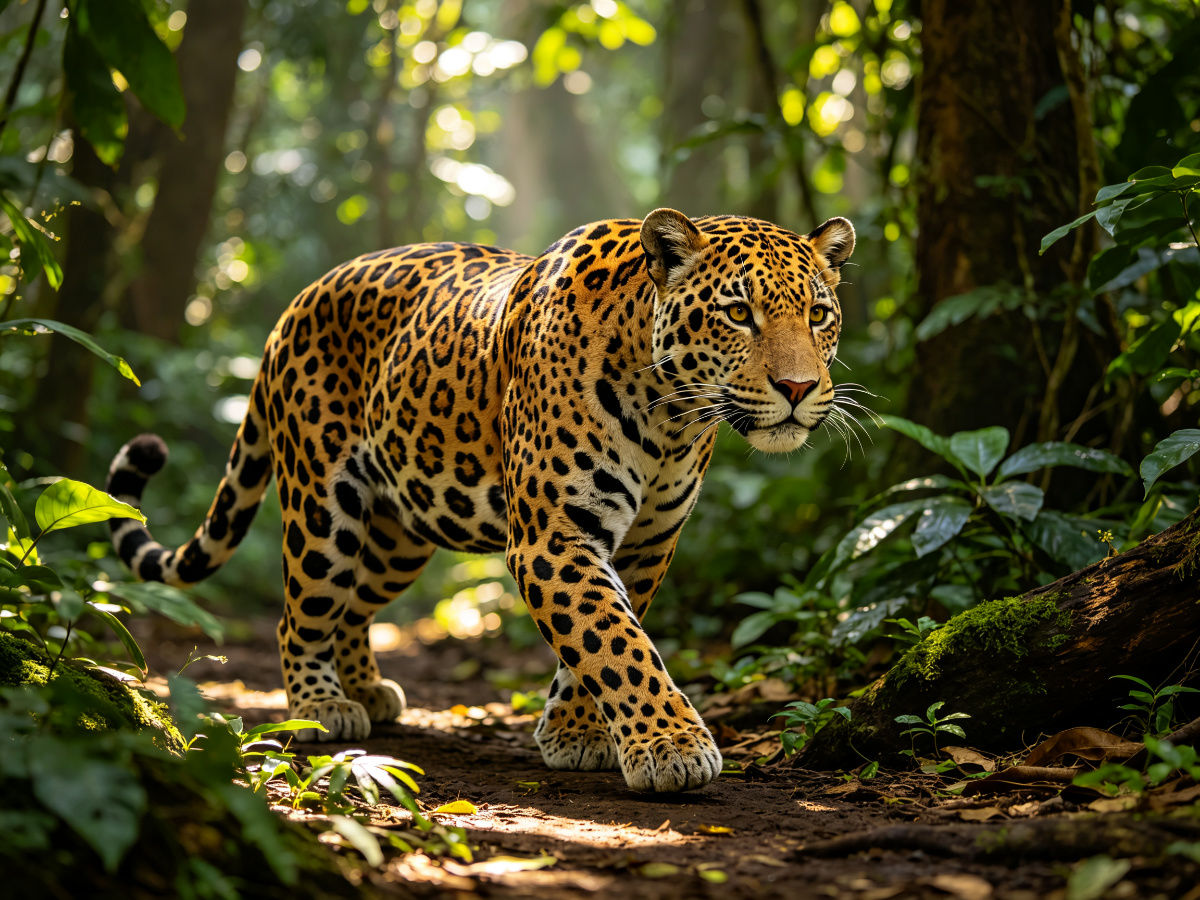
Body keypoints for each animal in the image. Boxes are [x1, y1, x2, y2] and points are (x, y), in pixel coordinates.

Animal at [106, 208, 855, 793]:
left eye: (818, 314)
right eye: (738, 314)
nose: (798, 388)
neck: (671, 417)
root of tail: (296, 304)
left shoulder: (647, 544)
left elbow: (601, 640)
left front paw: (575, 732)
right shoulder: (555, 537)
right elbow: (613, 641)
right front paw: (672, 747)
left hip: (400, 533)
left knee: (355, 604)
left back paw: (366, 689)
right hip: (324, 510)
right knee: (303, 611)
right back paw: (322, 705)